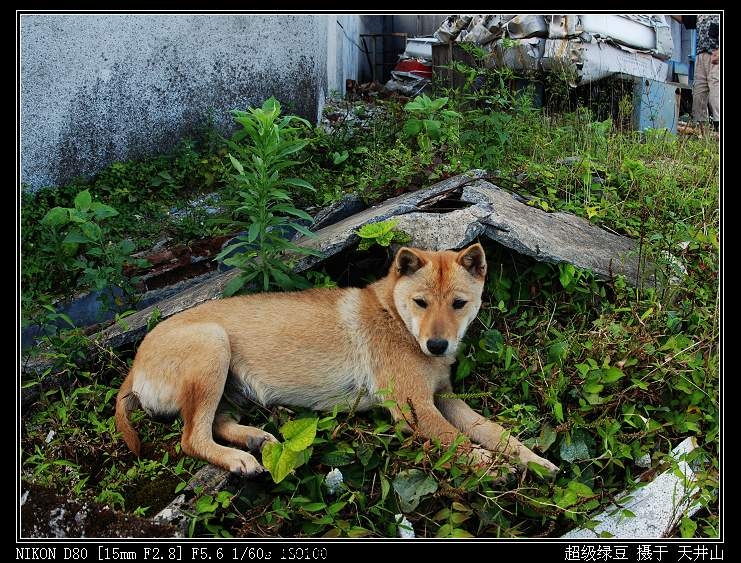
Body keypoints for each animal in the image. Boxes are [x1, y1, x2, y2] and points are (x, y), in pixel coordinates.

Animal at [114, 245, 556, 478]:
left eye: (459, 304)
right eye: (421, 302)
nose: (437, 345)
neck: (395, 319)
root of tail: (134, 368)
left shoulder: (444, 399)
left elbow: (494, 431)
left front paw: (533, 460)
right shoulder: (415, 409)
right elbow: (457, 441)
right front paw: (488, 465)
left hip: (228, 385)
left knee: (216, 424)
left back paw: (254, 439)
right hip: (213, 344)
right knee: (193, 437)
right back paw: (238, 458)